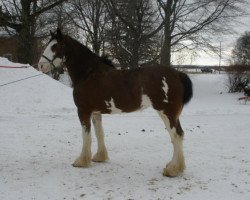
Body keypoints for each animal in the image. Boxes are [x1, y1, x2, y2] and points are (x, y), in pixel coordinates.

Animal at [38, 28, 192, 177]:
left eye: (55, 46)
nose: (41, 65)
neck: (88, 73)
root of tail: (178, 74)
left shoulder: (83, 110)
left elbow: (86, 135)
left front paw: (82, 161)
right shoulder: (95, 112)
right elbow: (99, 133)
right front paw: (100, 157)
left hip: (167, 113)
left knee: (176, 135)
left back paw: (172, 170)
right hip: (171, 115)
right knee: (179, 135)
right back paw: (176, 166)